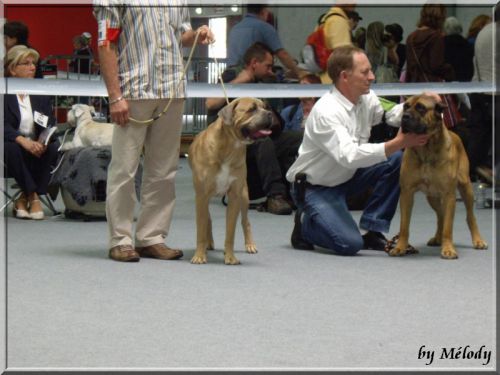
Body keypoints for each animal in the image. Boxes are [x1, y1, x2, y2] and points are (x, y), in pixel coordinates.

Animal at [188, 98, 274, 266]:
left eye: (265, 107)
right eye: (252, 109)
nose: (269, 113)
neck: (230, 145)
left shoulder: (234, 196)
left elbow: (230, 231)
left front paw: (230, 257)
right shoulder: (201, 196)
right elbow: (201, 229)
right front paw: (199, 255)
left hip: (244, 196)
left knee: (245, 222)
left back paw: (250, 245)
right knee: (207, 219)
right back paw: (208, 243)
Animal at [388, 94, 486, 258]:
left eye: (421, 108)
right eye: (405, 106)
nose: (405, 117)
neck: (426, 148)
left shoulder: (449, 194)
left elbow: (448, 226)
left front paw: (448, 249)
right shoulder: (407, 193)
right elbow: (404, 226)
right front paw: (400, 247)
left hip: (466, 188)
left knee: (469, 216)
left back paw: (478, 240)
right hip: (432, 196)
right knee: (440, 215)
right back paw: (437, 238)